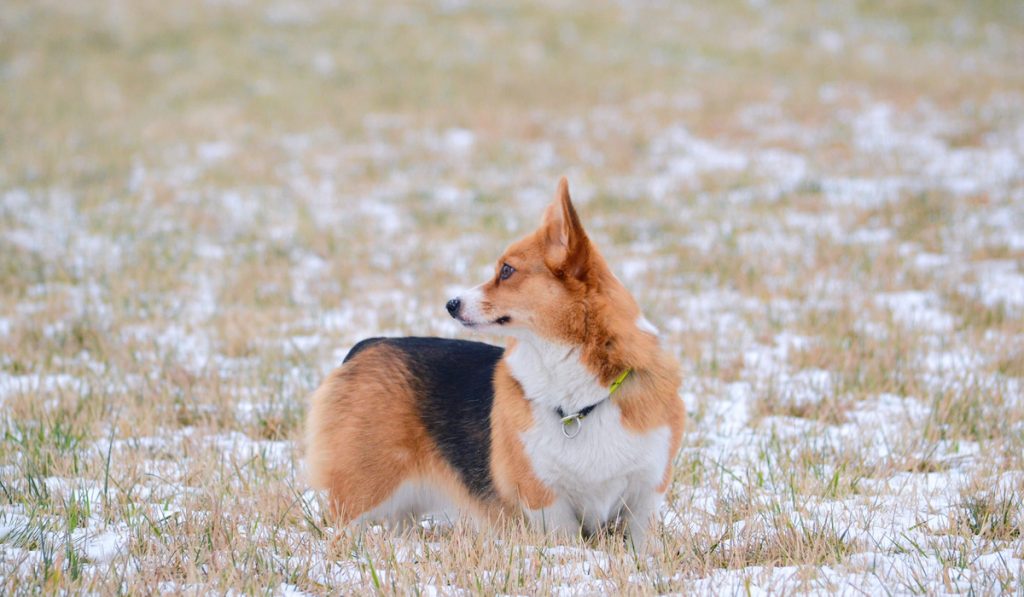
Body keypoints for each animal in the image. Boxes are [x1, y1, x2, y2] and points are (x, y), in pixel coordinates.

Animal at [305, 176, 688, 544]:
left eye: (507, 270)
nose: (450, 303)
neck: (577, 400)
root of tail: (368, 345)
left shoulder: (645, 495)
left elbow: (640, 543)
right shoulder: (545, 500)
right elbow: (565, 540)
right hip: (364, 493)